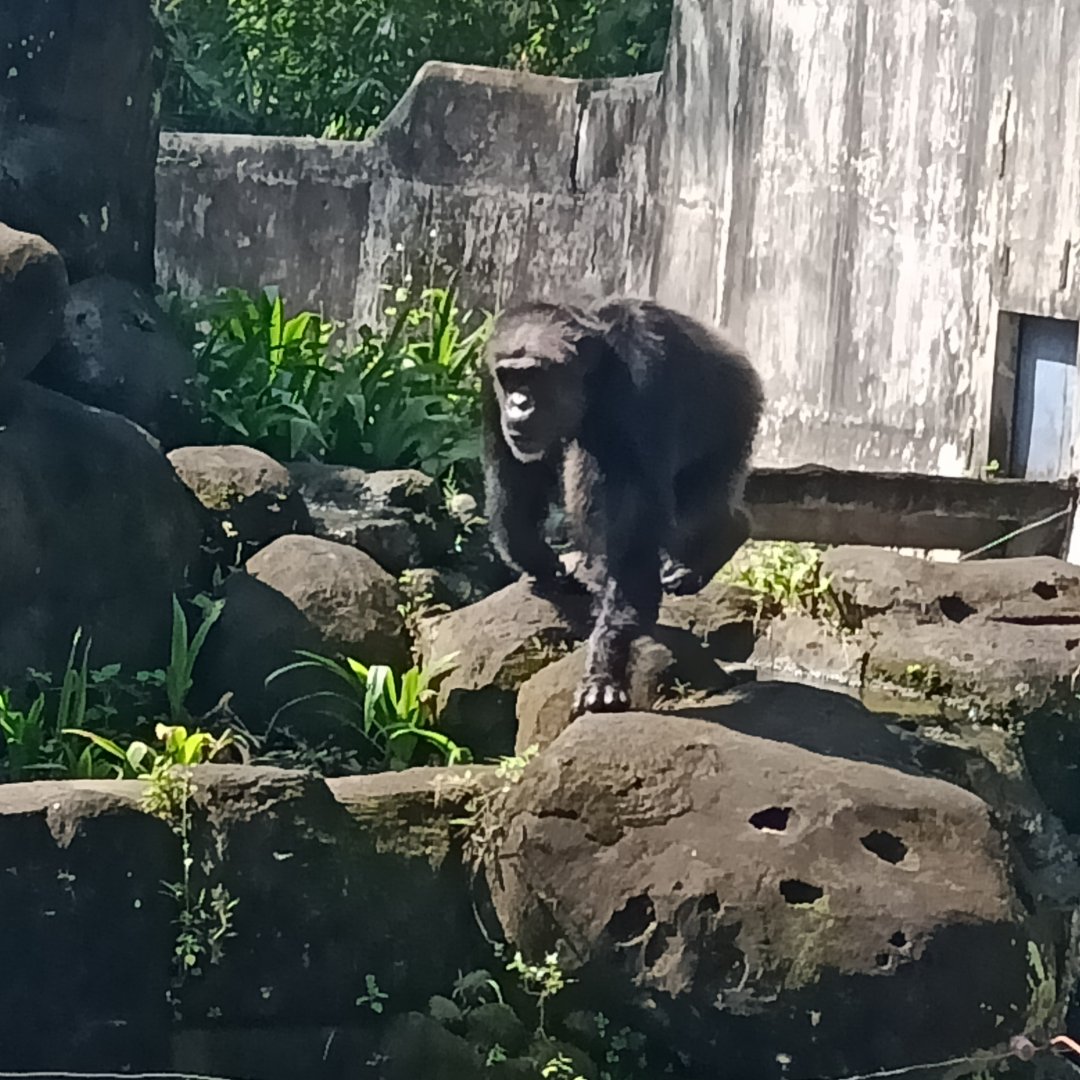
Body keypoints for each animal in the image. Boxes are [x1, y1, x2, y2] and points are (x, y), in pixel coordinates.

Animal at [481, 296, 764, 719]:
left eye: (535, 376)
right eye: (509, 378)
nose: (518, 404)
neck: (596, 373)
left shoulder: (640, 389)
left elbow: (632, 533)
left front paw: (604, 668)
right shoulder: (488, 388)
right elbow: (515, 479)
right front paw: (542, 563)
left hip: (735, 420)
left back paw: (719, 539)